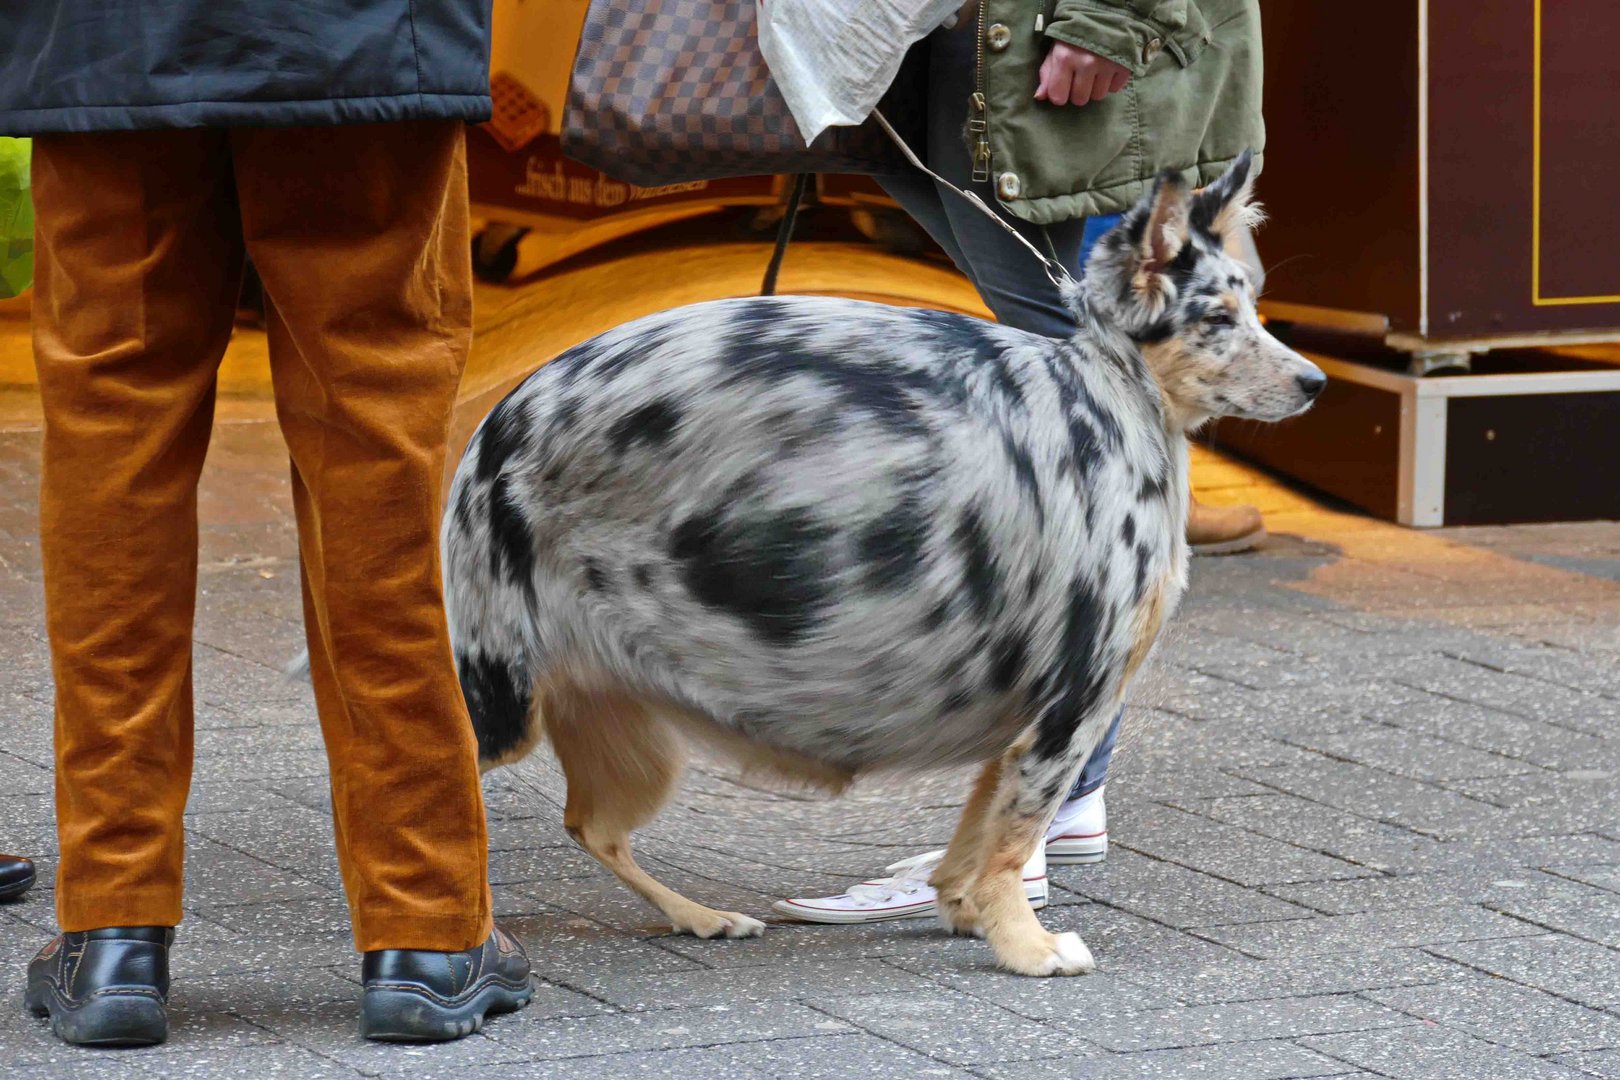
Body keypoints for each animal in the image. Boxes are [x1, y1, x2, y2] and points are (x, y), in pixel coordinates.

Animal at [440, 156, 1315, 977]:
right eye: (1218, 317)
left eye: (1254, 307)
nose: (1315, 380)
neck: (1113, 395)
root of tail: (489, 432)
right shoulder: (1073, 705)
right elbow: (1011, 839)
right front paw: (1027, 945)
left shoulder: (1022, 724)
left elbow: (976, 832)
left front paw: (964, 909)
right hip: (499, 700)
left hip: (628, 738)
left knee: (591, 827)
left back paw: (700, 916)